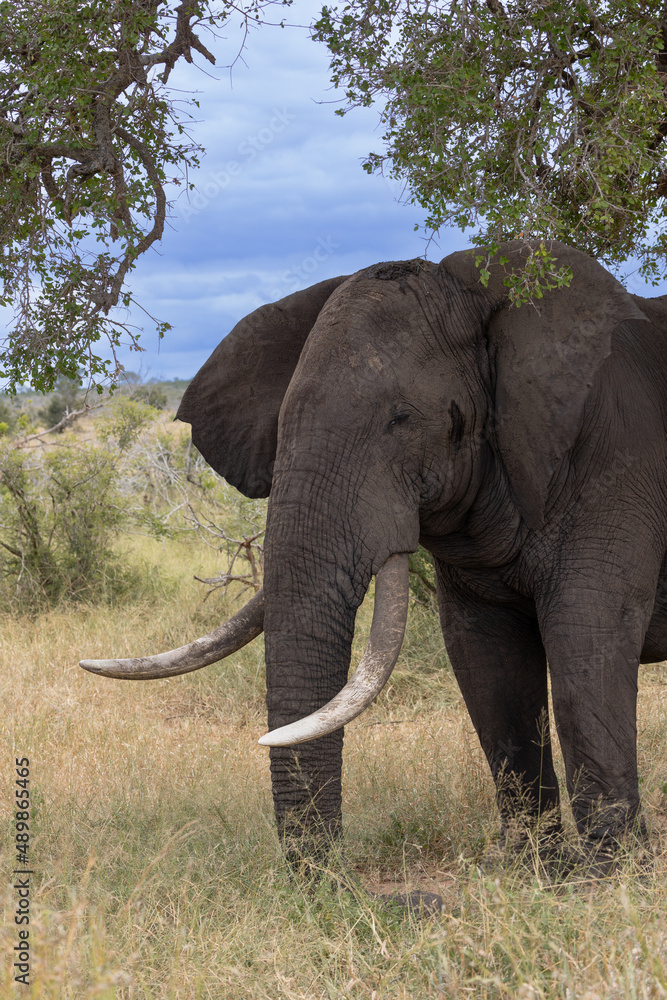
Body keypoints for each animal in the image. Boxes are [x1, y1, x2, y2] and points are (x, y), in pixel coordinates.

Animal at [81, 240, 667, 874]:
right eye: (282, 426)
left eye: (401, 419)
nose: (331, 882)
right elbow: (487, 663)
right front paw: (531, 870)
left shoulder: (616, 458)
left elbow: (587, 639)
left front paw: (609, 877)